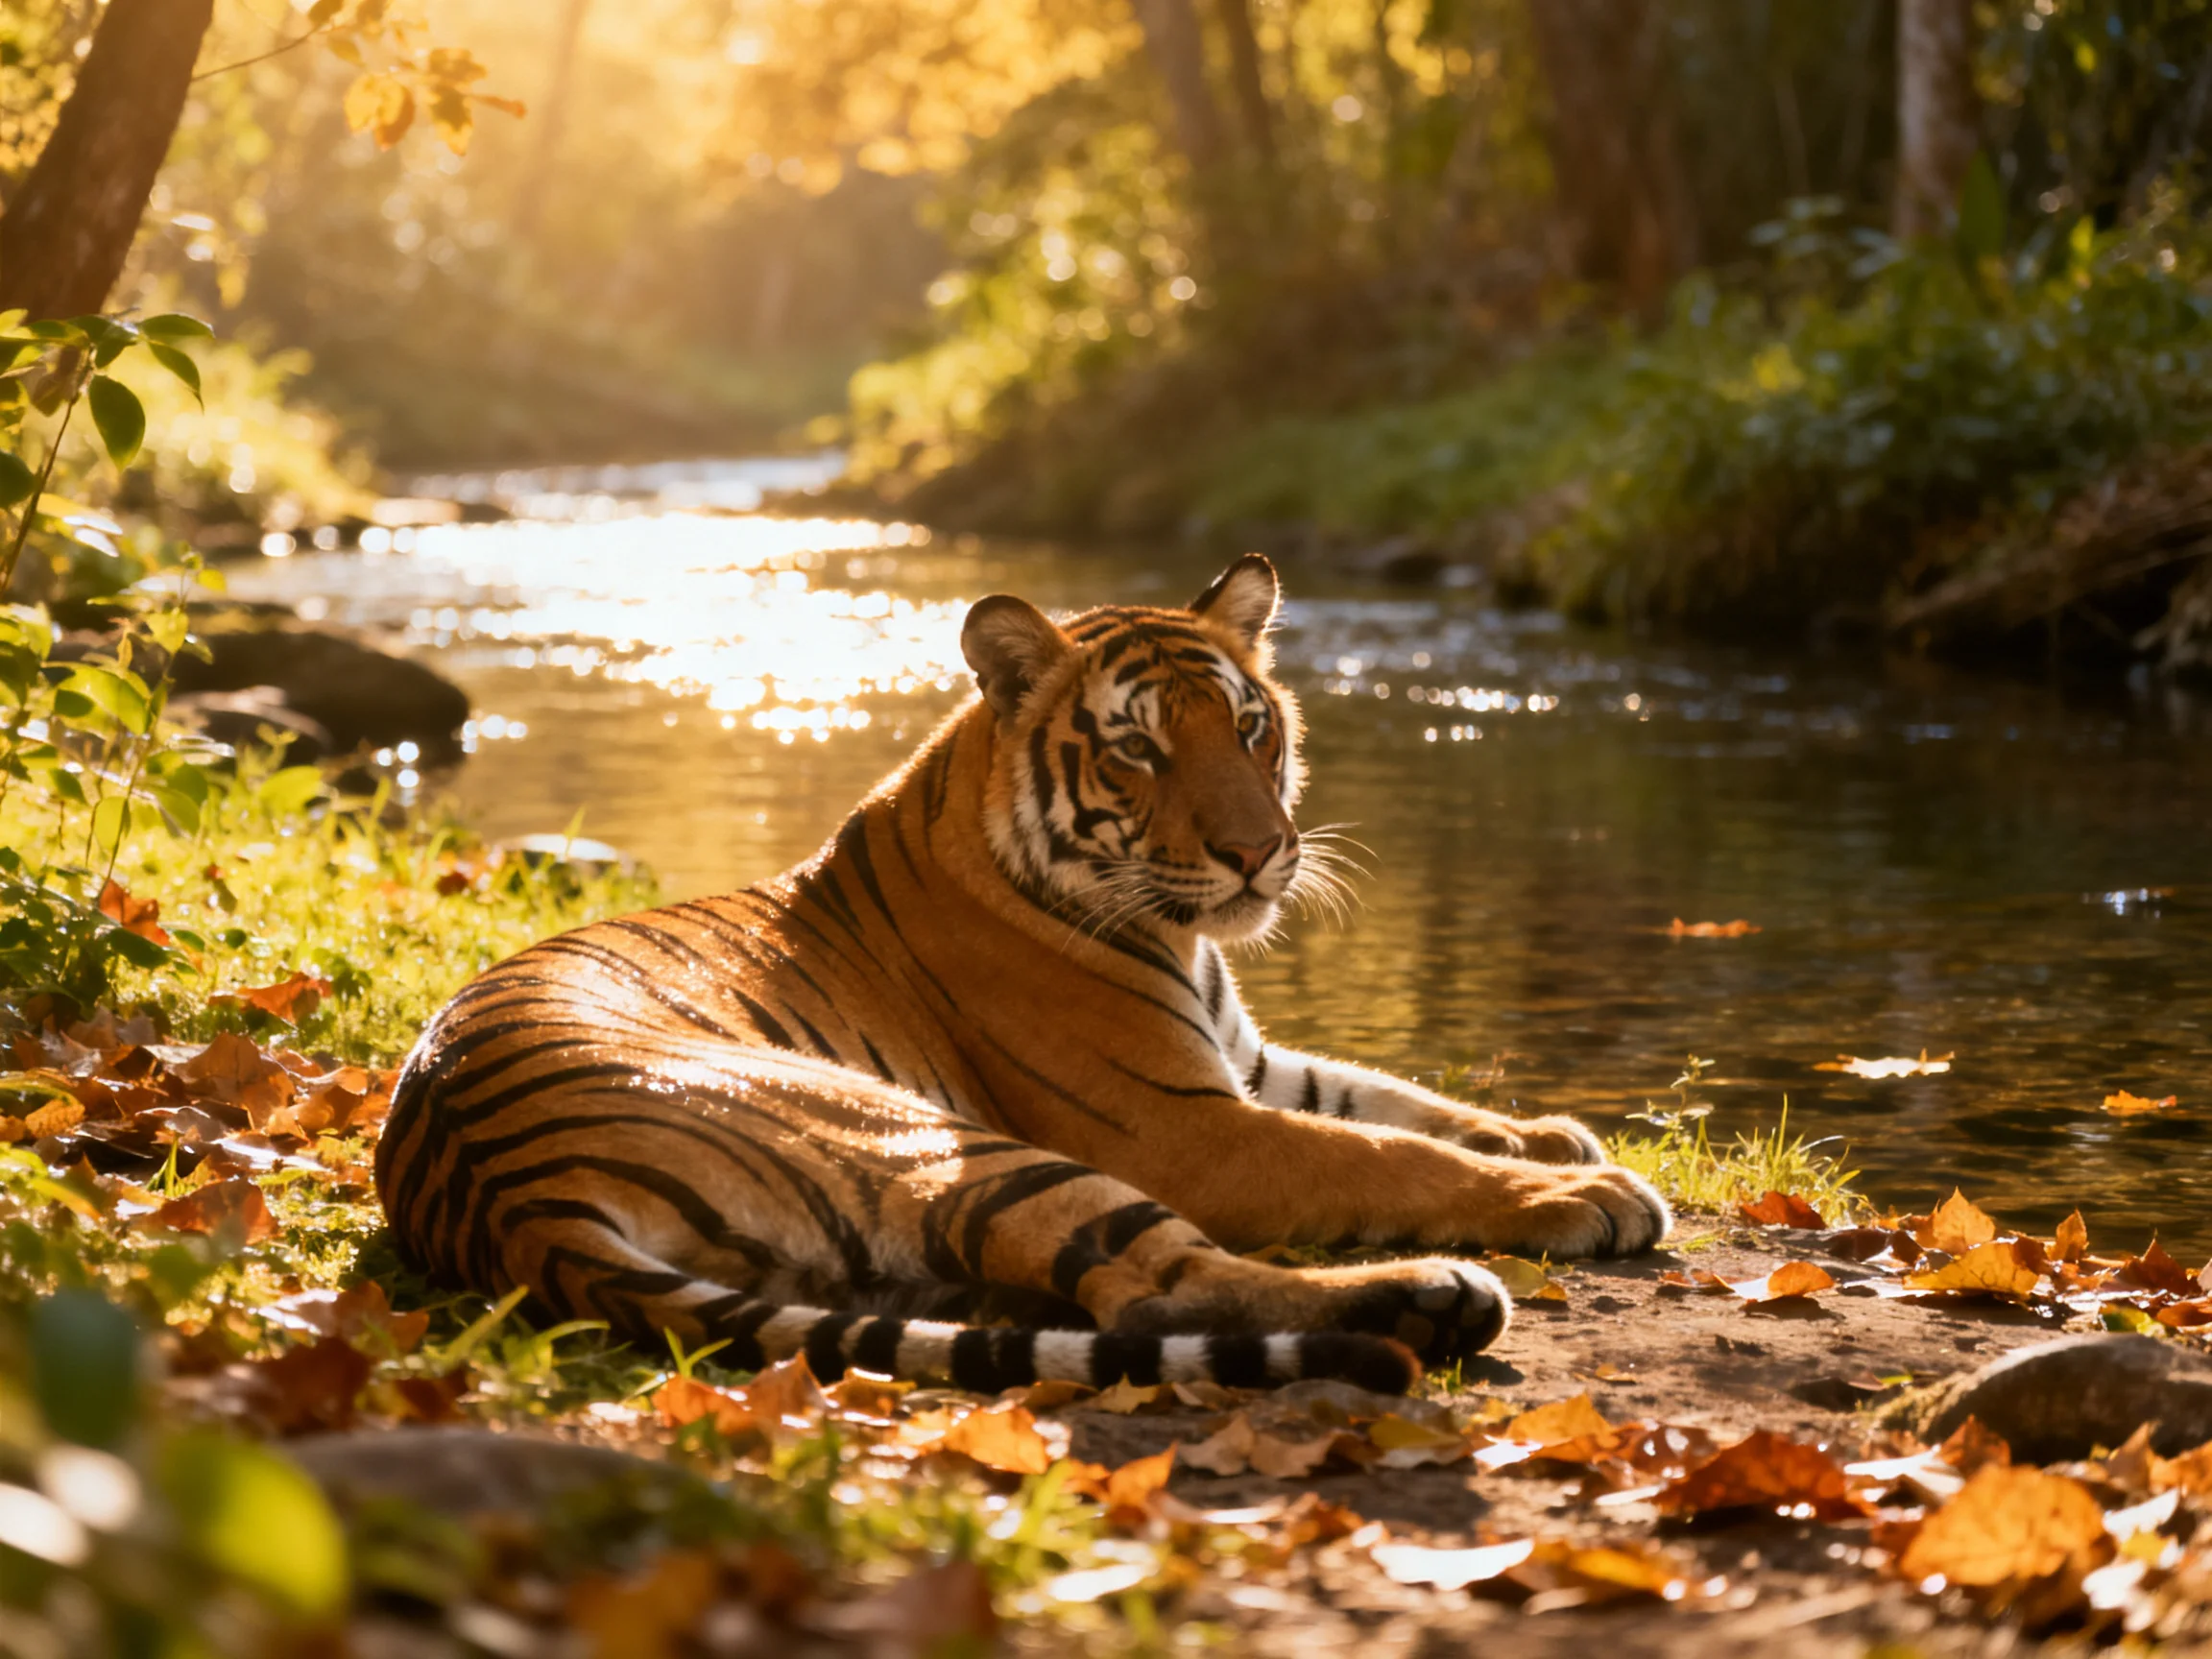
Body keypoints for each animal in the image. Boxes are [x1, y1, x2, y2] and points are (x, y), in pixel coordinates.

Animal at [375, 555, 1670, 1396]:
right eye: (1138, 746)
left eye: (1251, 726)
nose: (1260, 852)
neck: (1184, 937)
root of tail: (511, 1201)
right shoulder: (1186, 1126)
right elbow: (1390, 1154)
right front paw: (1584, 1191)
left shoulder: (1245, 1061)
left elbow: (1398, 1098)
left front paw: (1554, 1135)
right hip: (936, 1138)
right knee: (1161, 1288)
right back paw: (1441, 1296)